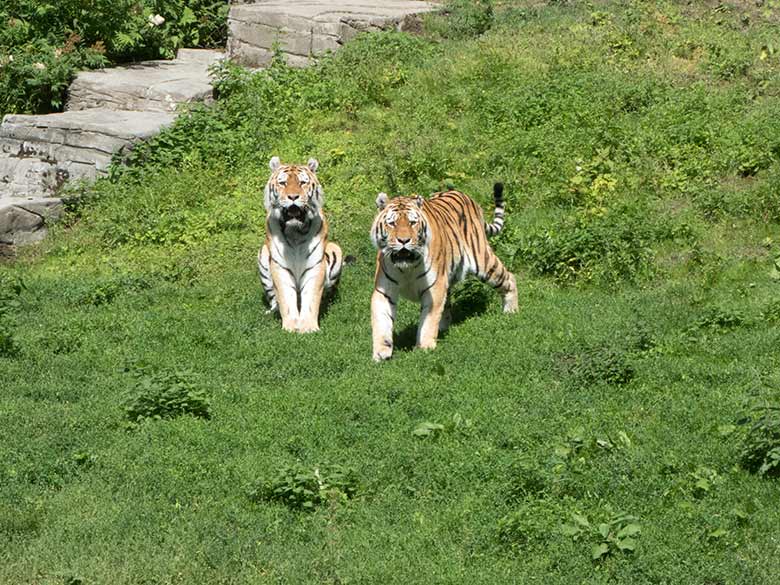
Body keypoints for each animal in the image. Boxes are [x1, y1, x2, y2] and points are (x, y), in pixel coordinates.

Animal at [258, 156, 342, 334]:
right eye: (283, 183)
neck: (295, 231)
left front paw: (308, 327)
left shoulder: (315, 265)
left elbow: (310, 298)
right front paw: (290, 327)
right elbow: (285, 299)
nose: (293, 197)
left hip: (336, 250)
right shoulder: (280, 266)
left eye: (302, 183)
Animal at [368, 185, 516, 360]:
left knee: (509, 278)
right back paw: (443, 327)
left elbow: (428, 319)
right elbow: (382, 321)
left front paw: (424, 347)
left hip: (483, 262)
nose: (404, 241)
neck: (406, 268)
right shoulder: (384, 291)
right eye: (392, 223)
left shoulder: (434, 288)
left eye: (412, 223)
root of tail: (464, 195)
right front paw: (381, 352)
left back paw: (511, 311)